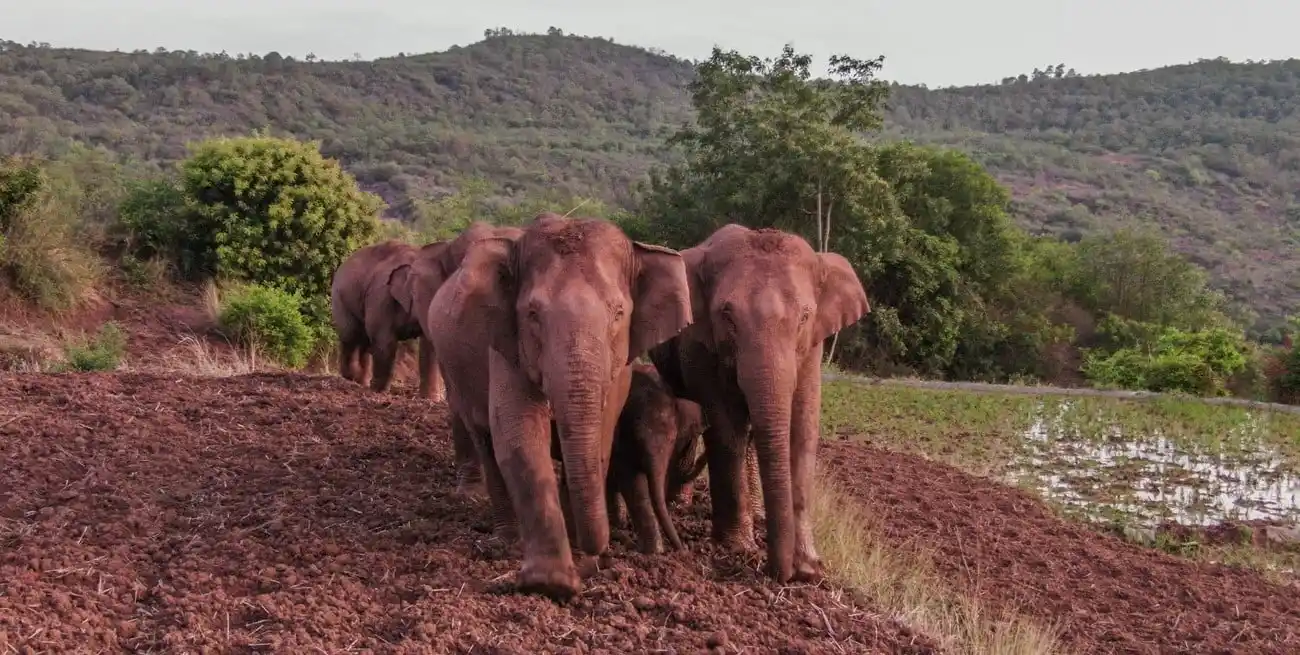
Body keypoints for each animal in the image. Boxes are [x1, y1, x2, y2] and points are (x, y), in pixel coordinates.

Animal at [425, 212, 693, 599]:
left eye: (618, 312)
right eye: (533, 313)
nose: (598, 556)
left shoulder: (621, 366)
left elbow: (602, 438)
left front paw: (578, 553)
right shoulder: (507, 342)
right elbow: (518, 434)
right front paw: (551, 584)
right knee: (485, 439)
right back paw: (506, 540)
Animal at [604, 363, 707, 554]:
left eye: (672, 439)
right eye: (636, 435)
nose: (683, 550)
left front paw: (654, 551)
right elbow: (630, 478)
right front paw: (655, 552)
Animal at [648, 224, 870, 584]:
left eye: (805, 317)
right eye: (727, 315)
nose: (782, 573)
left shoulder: (813, 348)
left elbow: (803, 429)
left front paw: (810, 567)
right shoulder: (700, 345)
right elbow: (725, 429)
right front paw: (738, 547)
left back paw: (757, 513)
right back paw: (680, 503)